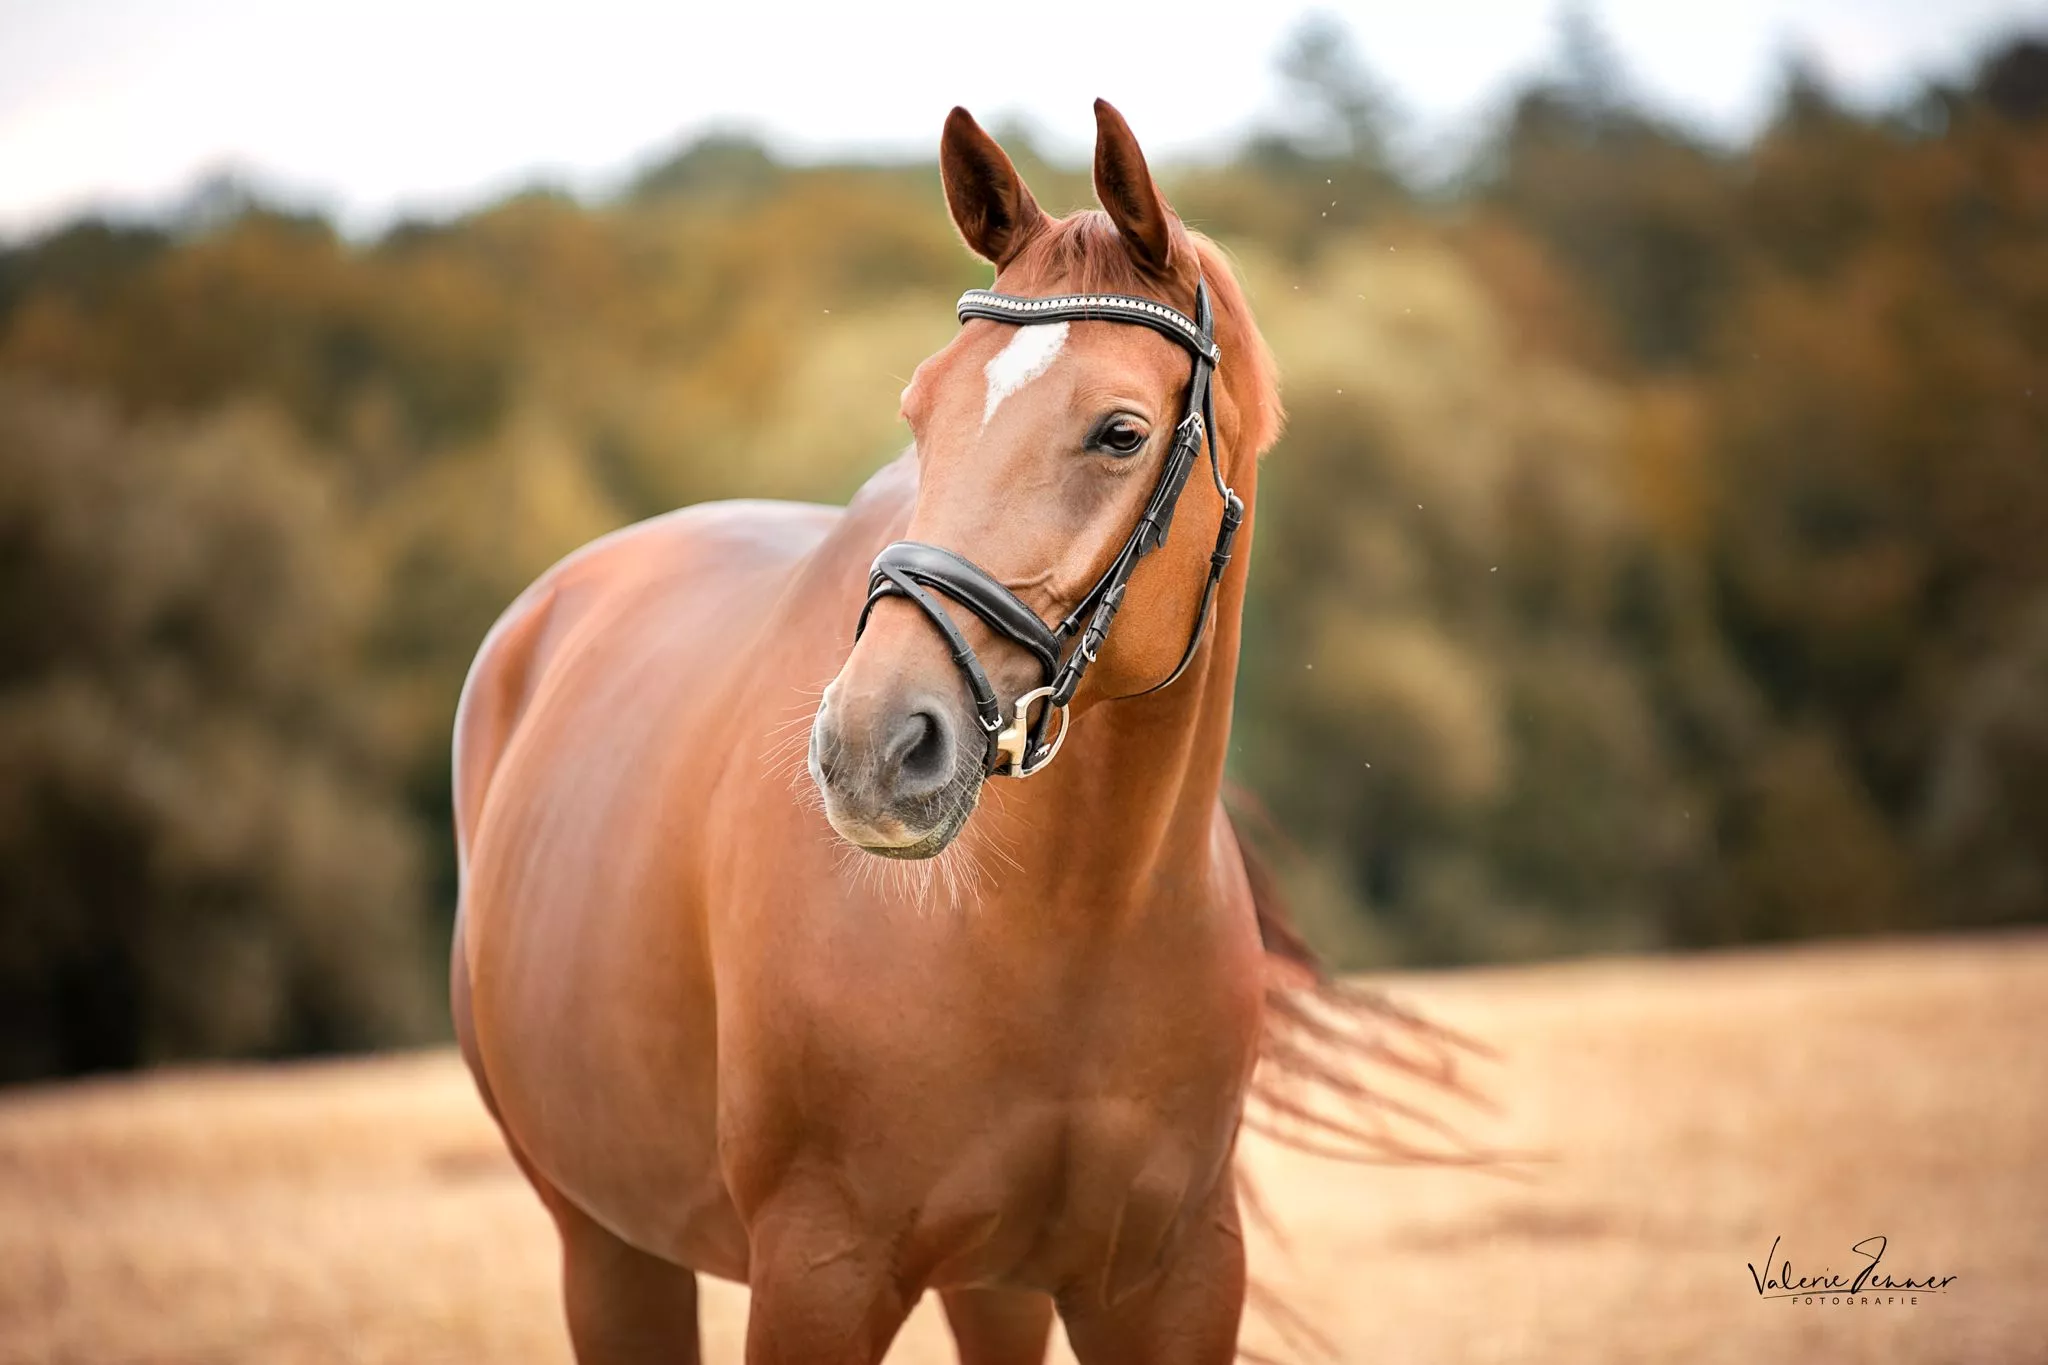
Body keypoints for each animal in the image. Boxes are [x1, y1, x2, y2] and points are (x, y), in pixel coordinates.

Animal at [451, 100, 1471, 1365]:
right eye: (919, 411)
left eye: (1119, 432)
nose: (867, 751)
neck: (1064, 926)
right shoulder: (818, 1275)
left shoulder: (1168, 1283)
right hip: (607, 1246)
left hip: (990, 1286)